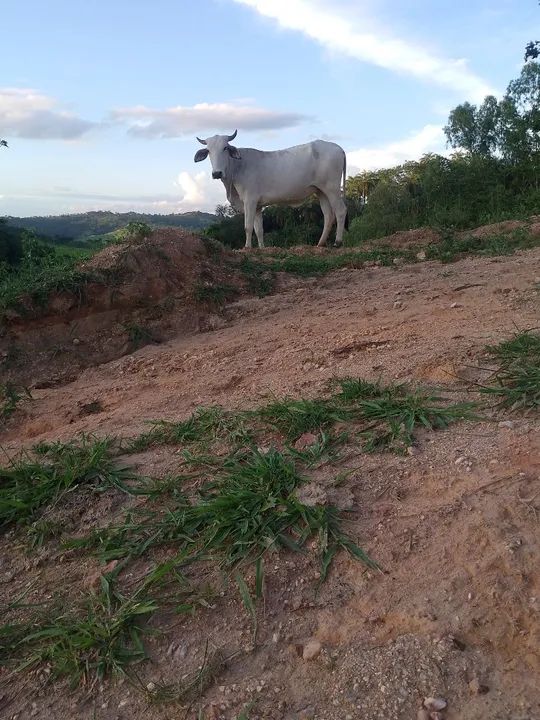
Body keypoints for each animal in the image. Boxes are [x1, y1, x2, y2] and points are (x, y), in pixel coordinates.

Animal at [194, 130, 348, 249]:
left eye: (225, 147)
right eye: (208, 151)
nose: (217, 173)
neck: (237, 167)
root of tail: (338, 148)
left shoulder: (250, 200)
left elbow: (248, 226)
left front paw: (247, 247)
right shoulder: (257, 206)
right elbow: (259, 229)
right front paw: (261, 248)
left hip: (332, 188)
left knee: (340, 211)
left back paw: (338, 242)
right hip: (321, 191)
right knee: (328, 215)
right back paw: (320, 243)